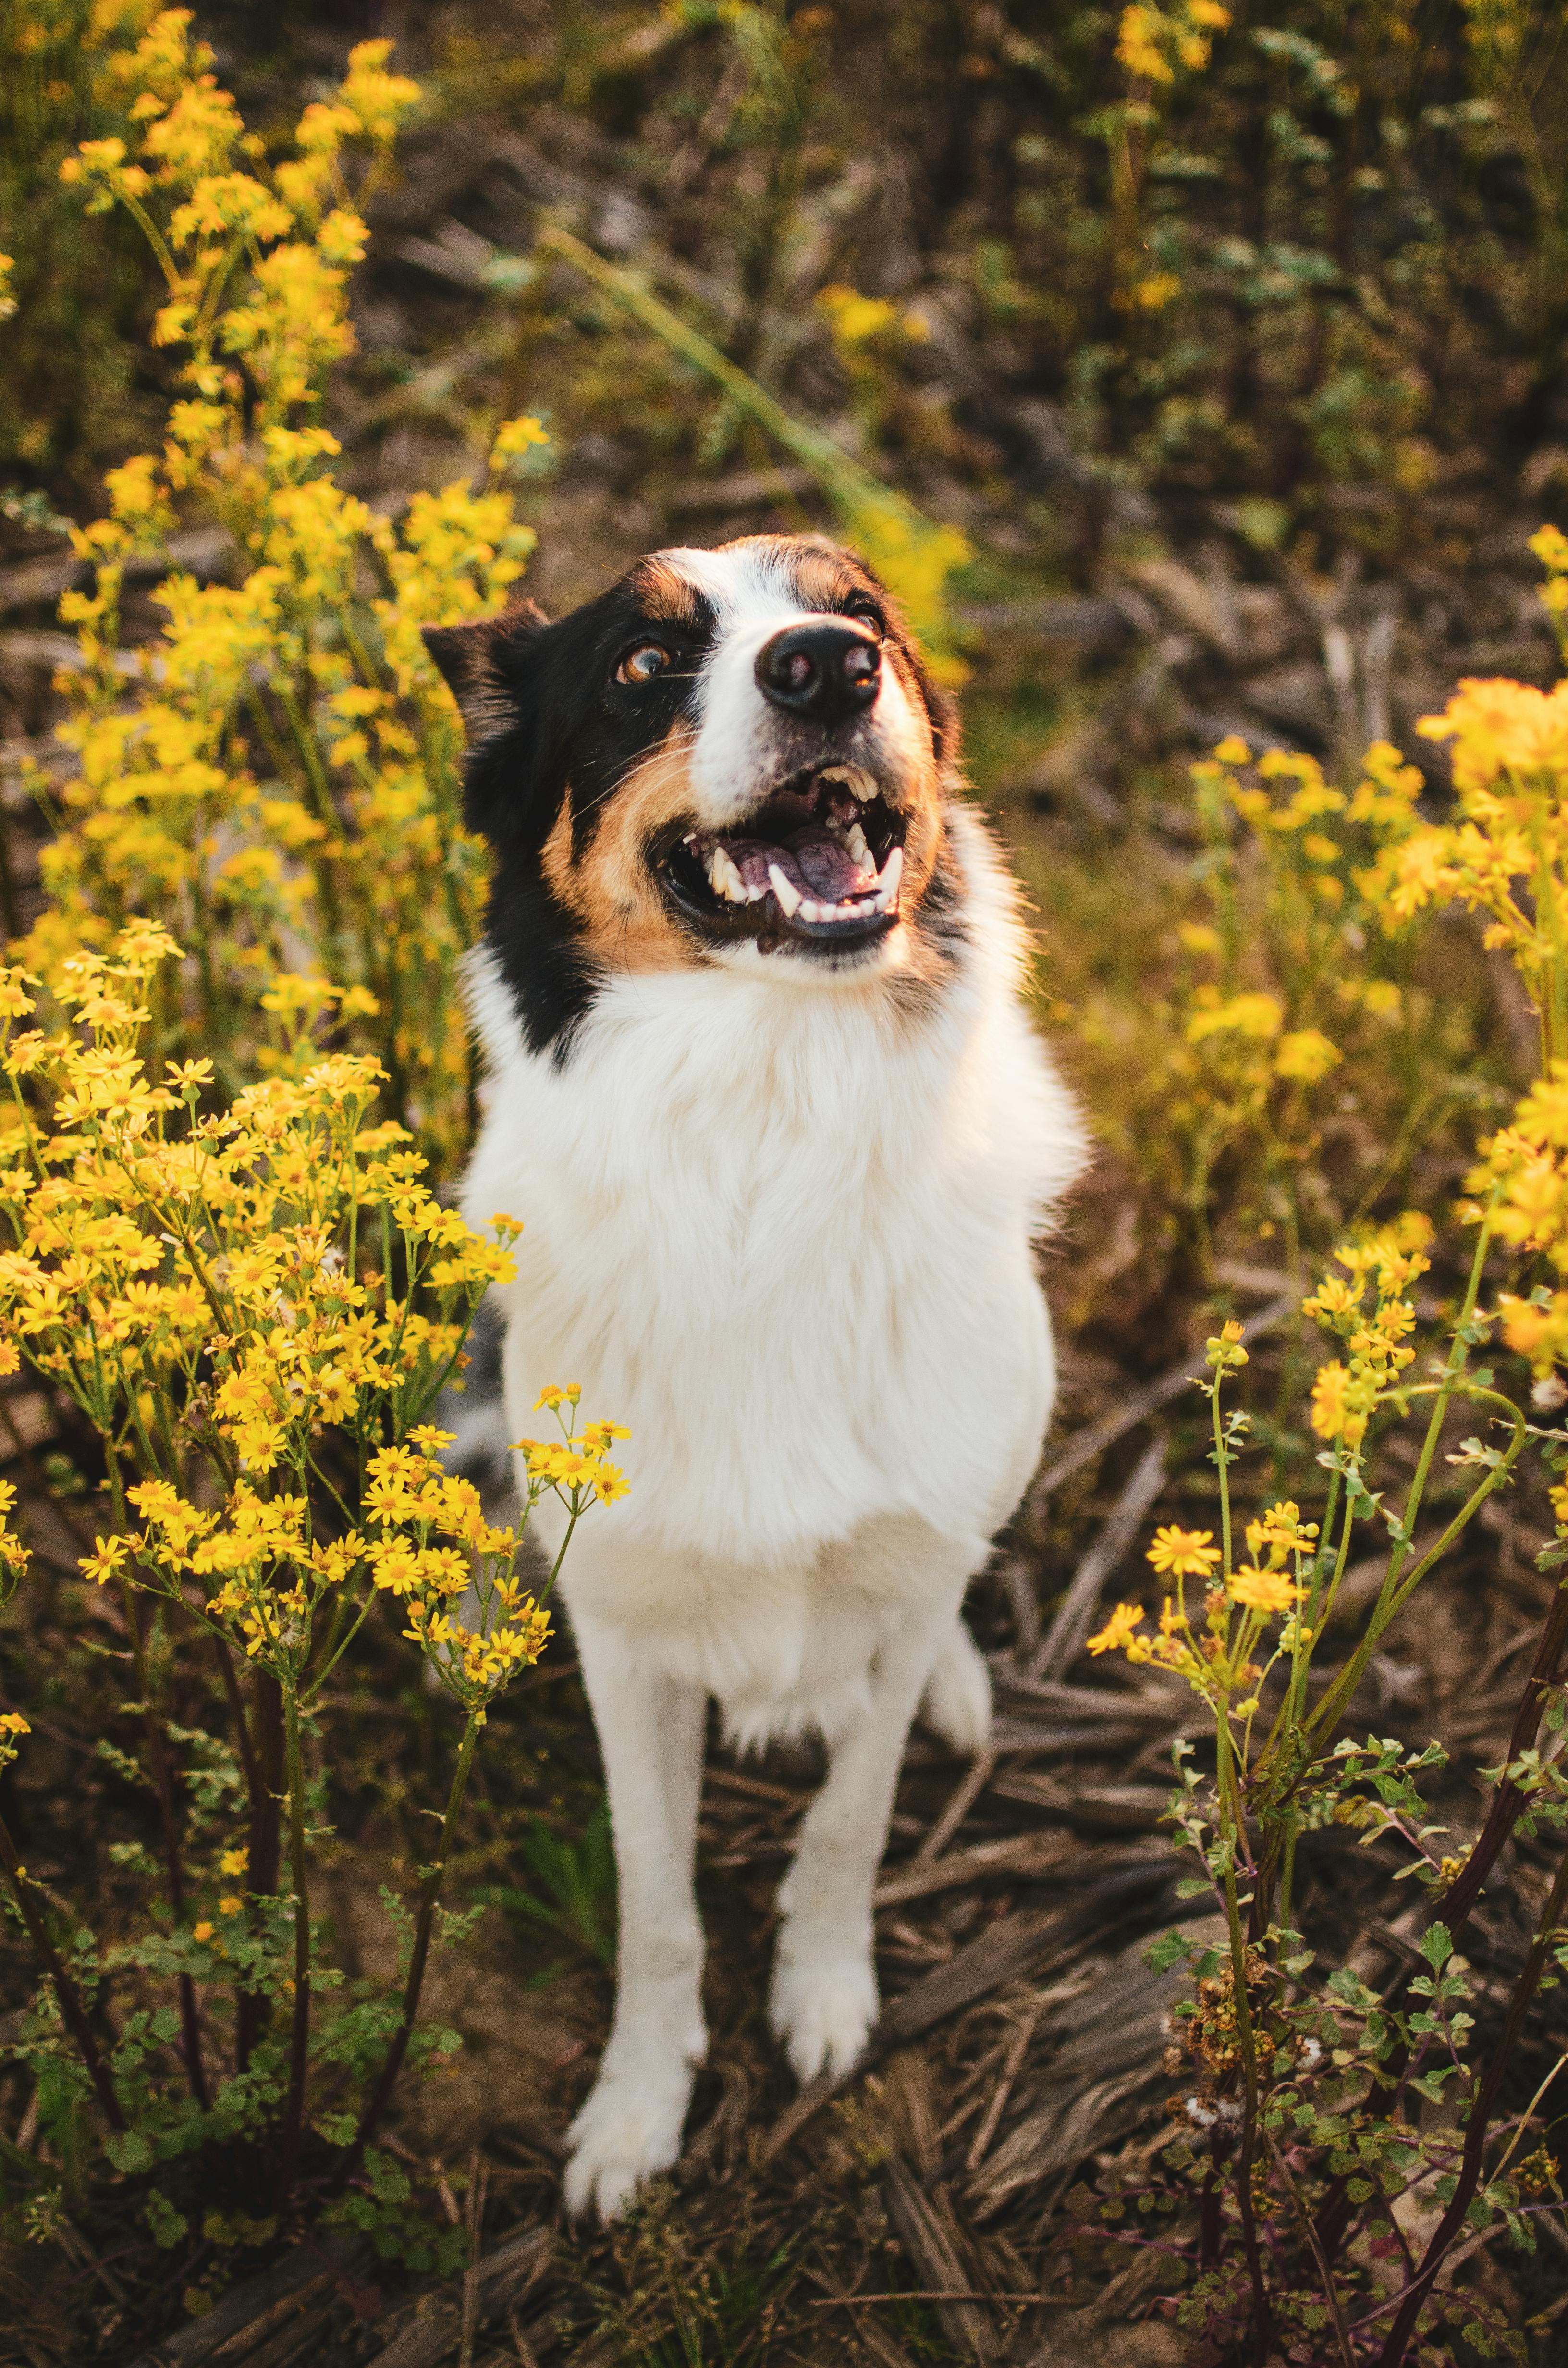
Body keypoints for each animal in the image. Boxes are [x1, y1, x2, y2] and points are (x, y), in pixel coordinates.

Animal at [431, 532, 1094, 2216]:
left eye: (858, 614)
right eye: (641, 664)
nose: (822, 670)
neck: (772, 1108)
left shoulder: (905, 1570)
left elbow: (848, 1824)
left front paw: (822, 1997)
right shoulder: (624, 1633)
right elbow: (656, 1900)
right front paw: (633, 2112)